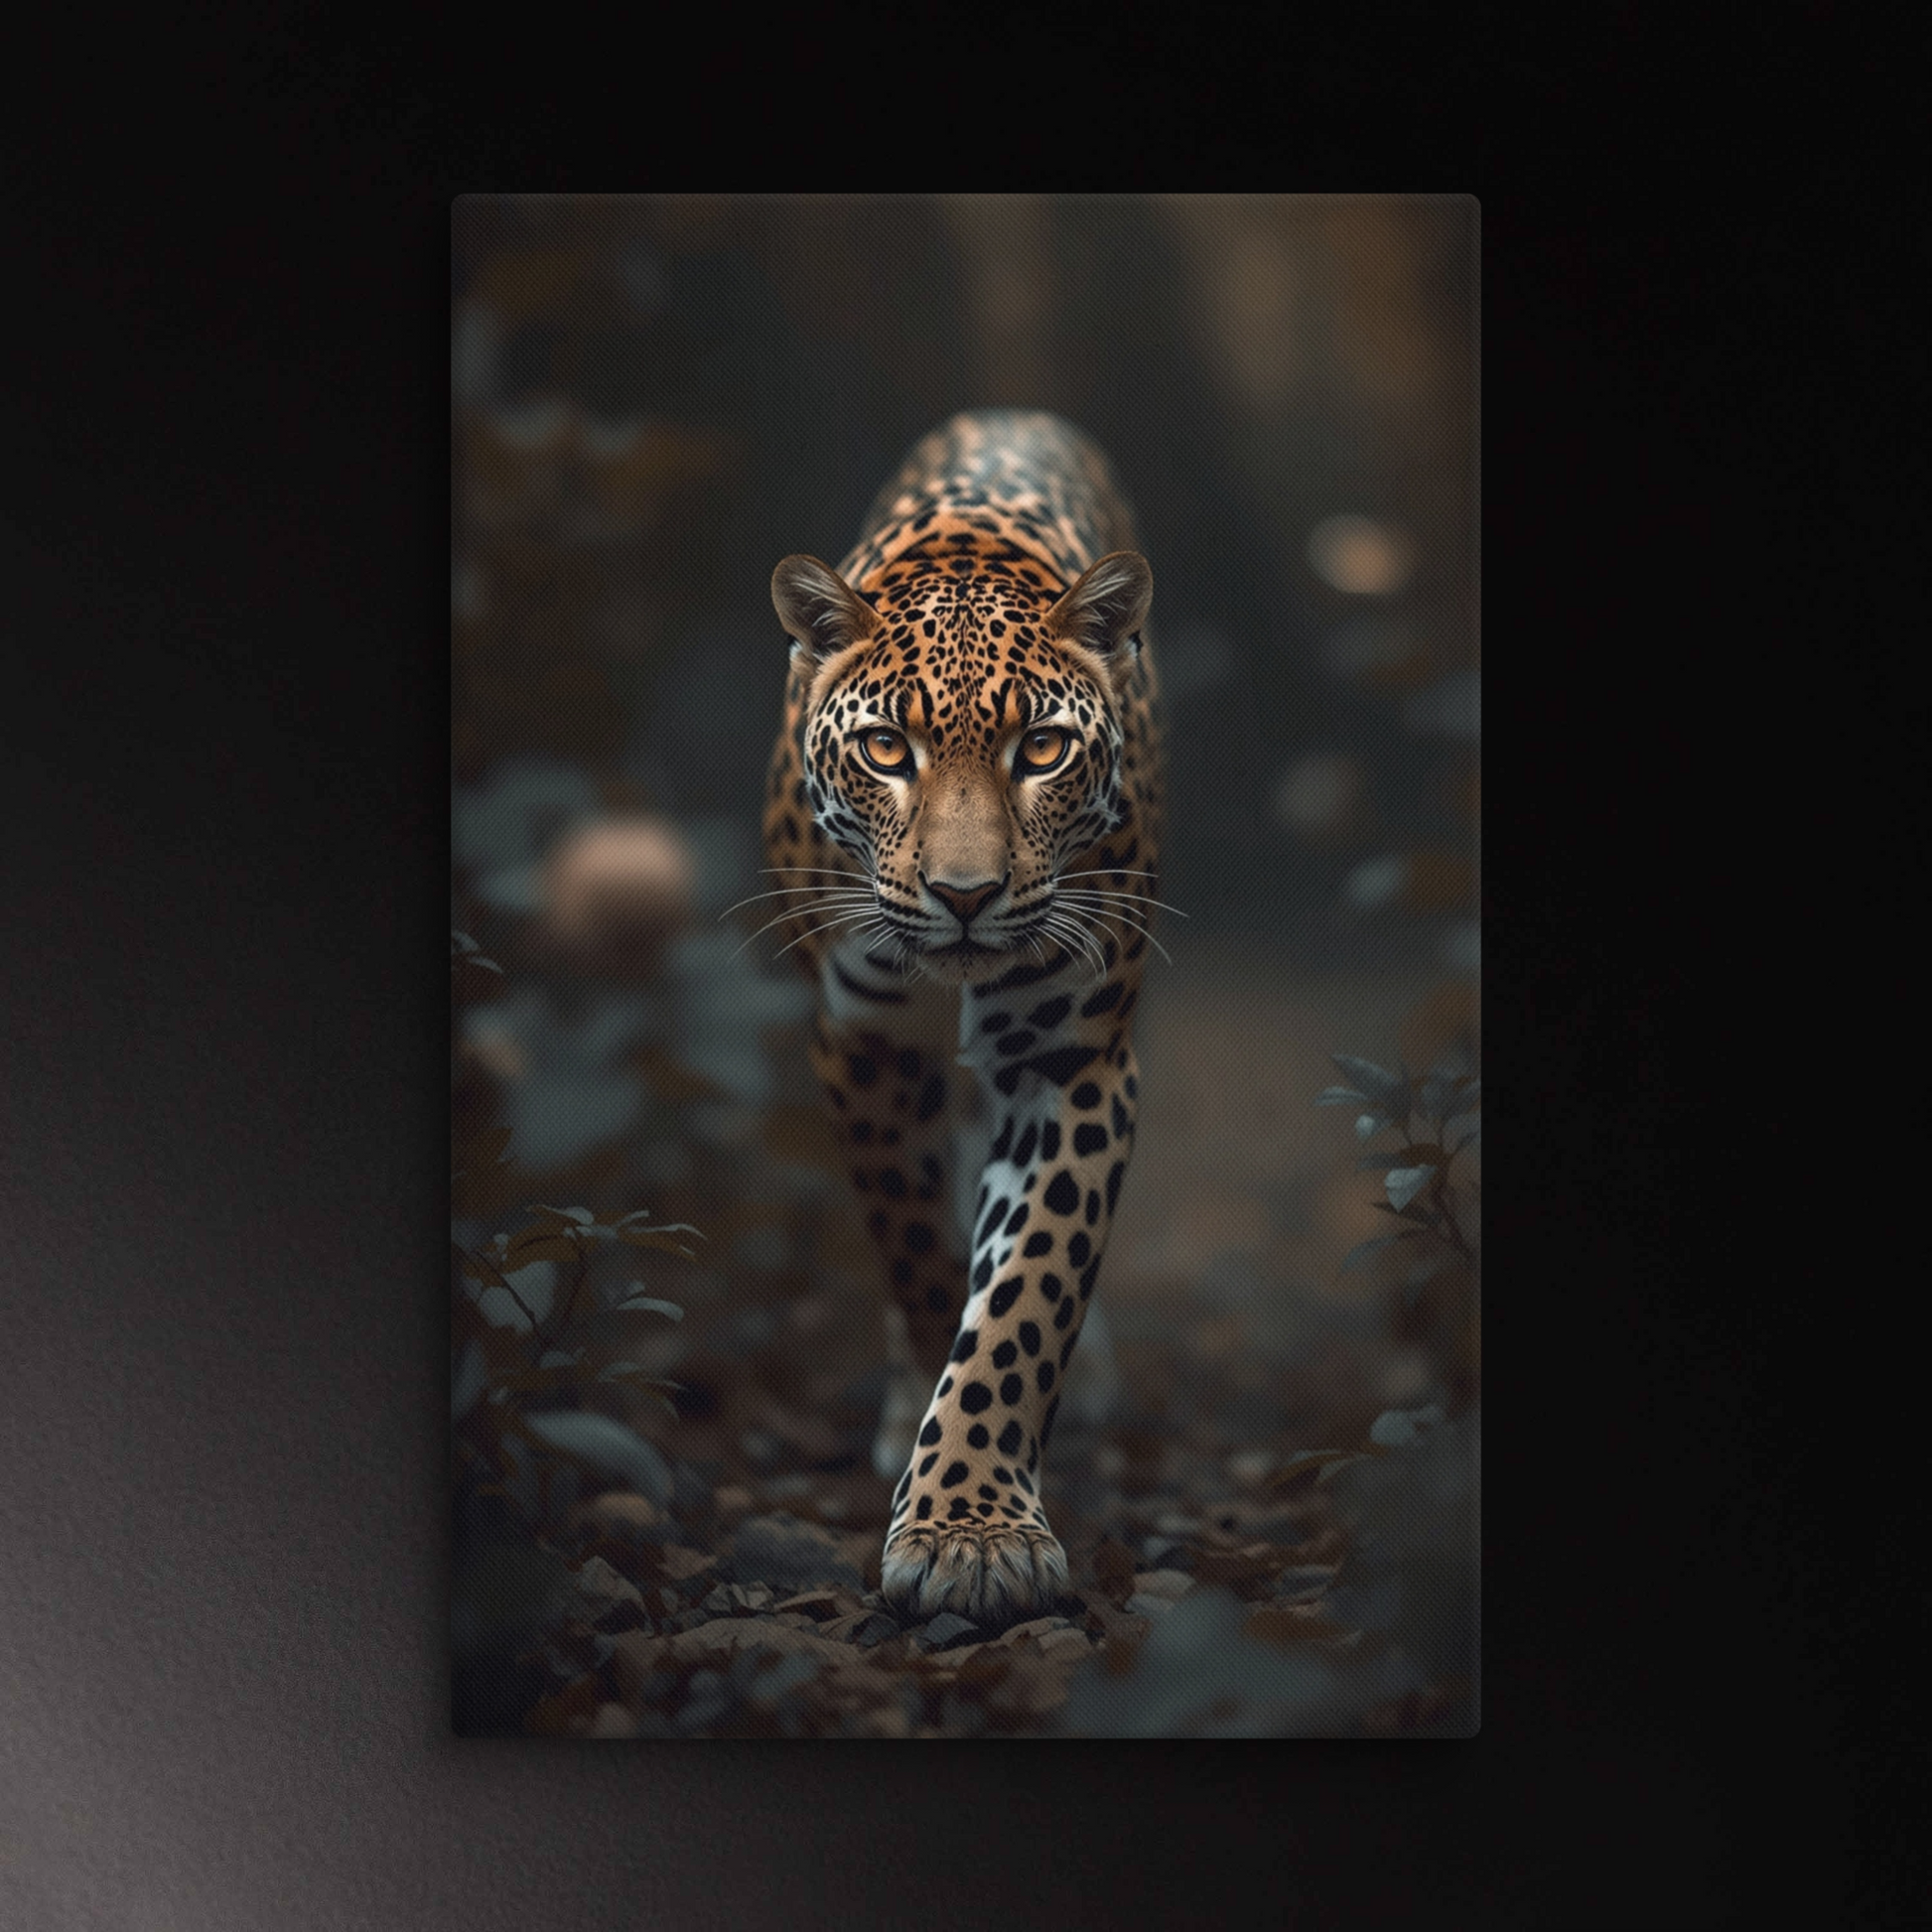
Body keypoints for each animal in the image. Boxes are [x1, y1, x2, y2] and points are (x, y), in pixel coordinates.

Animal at [759, 409, 1166, 1629]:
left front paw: (970, 1528)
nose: (966, 894)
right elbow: (919, 1249)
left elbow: (1027, 1290)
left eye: (1042, 750)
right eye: (887, 749)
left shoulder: (1072, 1058)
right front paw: (941, 1475)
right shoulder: (865, 1041)